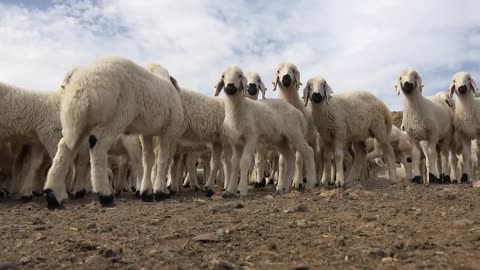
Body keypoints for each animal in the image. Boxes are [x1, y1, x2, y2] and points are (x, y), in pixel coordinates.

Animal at [43, 56, 186, 209]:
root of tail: (83, 80)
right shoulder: (168, 130)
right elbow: (162, 160)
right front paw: (159, 192)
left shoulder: (146, 132)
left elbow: (148, 160)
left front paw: (146, 192)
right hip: (117, 116)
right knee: (98, 144)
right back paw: (105, 195)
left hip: (81, 121)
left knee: (66, 147)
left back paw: (53, 194)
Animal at [214, 65, 316, 196]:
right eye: (223, 76)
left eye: (240, 76)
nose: (230, 87)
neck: (240, 108)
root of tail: (298, 113)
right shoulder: (236, 142)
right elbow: (235, 163)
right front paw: (230, 190)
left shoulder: (251, 137)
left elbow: (244, 161)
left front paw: (241, 190)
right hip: (281, 139)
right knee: (290, 158)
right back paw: (284, 188)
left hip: (295, 132)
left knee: (308, 151)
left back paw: (310, 183)